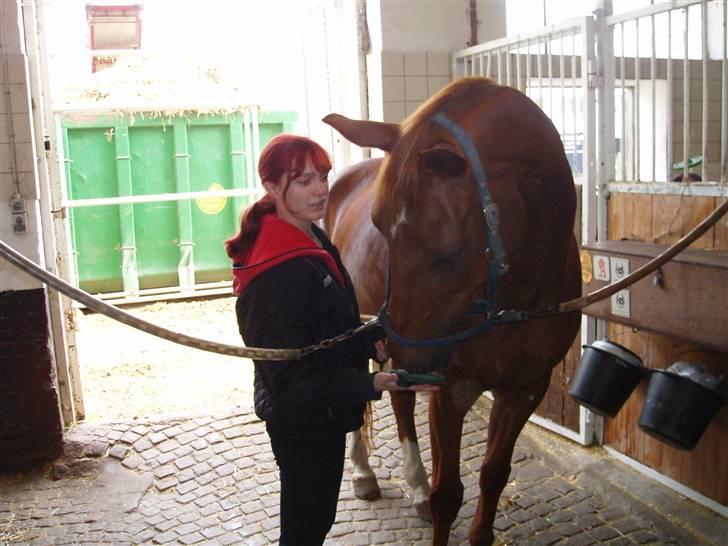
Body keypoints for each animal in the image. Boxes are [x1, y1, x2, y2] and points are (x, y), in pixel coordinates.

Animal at [324, 77, 580, 544]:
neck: (513, 300)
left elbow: (494, 474)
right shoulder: (451, 388)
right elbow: (447, 493)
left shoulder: (525, 389)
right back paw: (368, 473)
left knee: (400, 403)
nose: (408, 358)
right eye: (379, 228)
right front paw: (432, 496)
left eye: (447, 253)